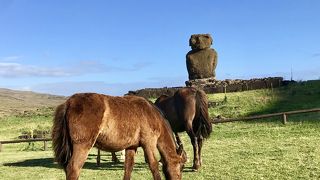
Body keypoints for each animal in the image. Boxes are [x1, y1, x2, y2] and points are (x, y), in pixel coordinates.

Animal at [52, 93, 188, 180]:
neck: (152, 114)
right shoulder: (148, 144)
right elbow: (153, 166)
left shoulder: (131, 147)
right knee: (73, 169)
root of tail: (69, 103)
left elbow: (128, 168)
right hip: (83, 147)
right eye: (181, 166)